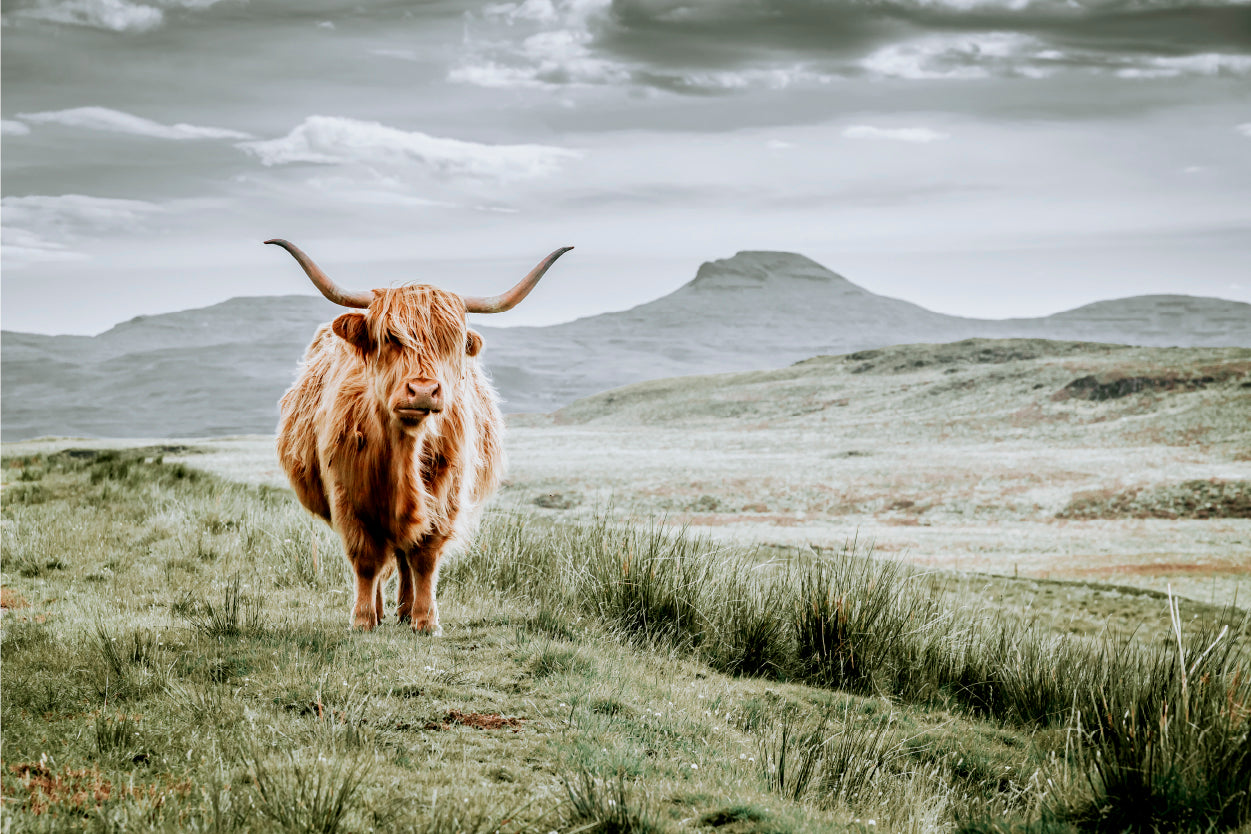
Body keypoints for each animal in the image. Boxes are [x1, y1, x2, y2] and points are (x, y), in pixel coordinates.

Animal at [267, 238, 572, 633]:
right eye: (389, 338)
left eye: (451, 343)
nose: (424, 391)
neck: (402, 452)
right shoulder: (347, 496)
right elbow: (366, 560)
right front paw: (363, 619)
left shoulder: (445, 496)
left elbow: (424, 556)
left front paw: (426, 620)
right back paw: (383, 610)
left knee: (403, 555)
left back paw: (405, 609)